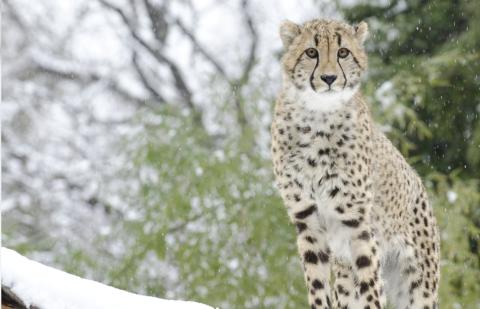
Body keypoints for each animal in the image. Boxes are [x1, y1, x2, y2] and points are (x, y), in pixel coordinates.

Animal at [270, 19, 438, 308]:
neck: (317, 117)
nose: (328, 78)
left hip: (418, 288)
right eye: (311, 52)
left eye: (343, 52)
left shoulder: (357, 222)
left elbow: (370, 283)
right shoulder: (307, 220)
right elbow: (317, 283)